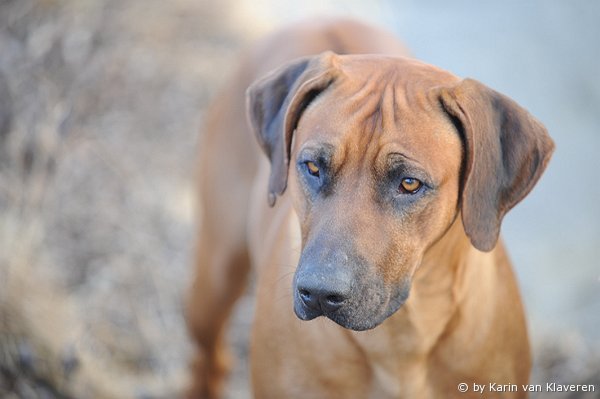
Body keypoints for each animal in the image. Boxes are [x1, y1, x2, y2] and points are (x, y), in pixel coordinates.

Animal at [186, 18, 552, 399]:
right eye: (312, 167)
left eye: (409, 183)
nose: (319, 293)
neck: (401, 338)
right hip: (214, 279)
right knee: (207, 357)